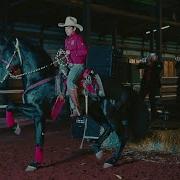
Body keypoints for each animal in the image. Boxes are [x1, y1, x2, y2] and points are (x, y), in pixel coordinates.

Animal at [0, 34, 149, 171]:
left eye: (9, 53)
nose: (2, 76)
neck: (40, 79)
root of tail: (124, 88)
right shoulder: (36, 114)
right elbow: (12, 109)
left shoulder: (39, 113)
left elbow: (36, 136)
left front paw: (32, 160)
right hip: (96, 112)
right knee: (108, 128)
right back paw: (97, 148)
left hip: (111, 114)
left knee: (122, 136)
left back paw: (111, 161)